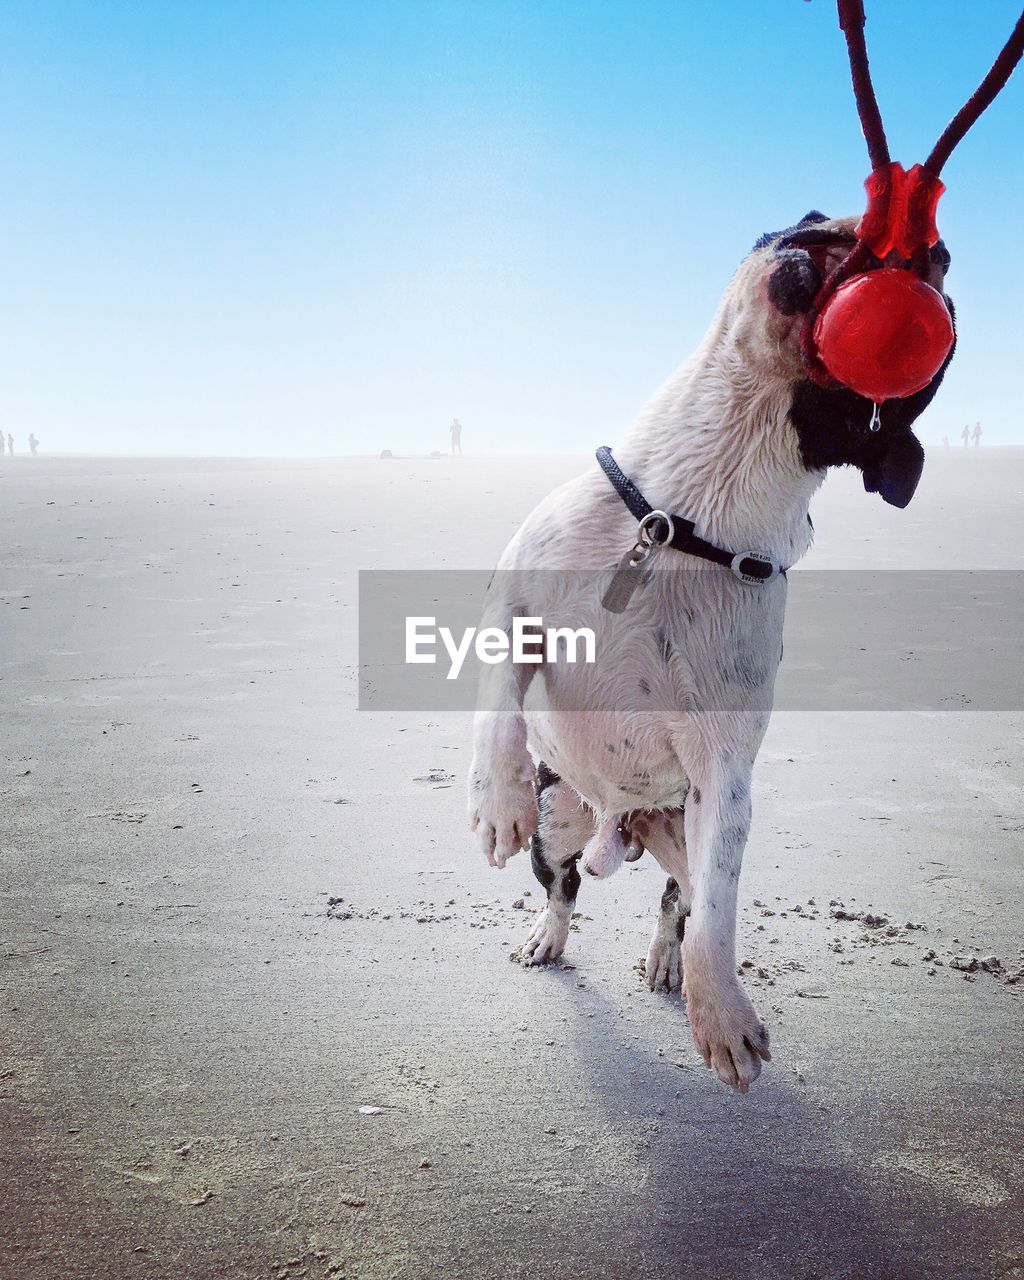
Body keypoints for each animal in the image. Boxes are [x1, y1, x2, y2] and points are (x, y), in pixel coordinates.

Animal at [468, 209, 957, 1090]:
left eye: (952, 306)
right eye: (810, 212)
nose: (926, 244)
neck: (679, 521)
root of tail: (620, 827)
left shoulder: (724, 773)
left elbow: (719, 916)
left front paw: (722, 1016)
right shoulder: (511, 608)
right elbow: (498, 712)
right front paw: (498, 802)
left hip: (679, 832)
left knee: (679, 902)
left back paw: (668, 963)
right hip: (564, 817)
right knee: (563, 886)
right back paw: (548, 936)